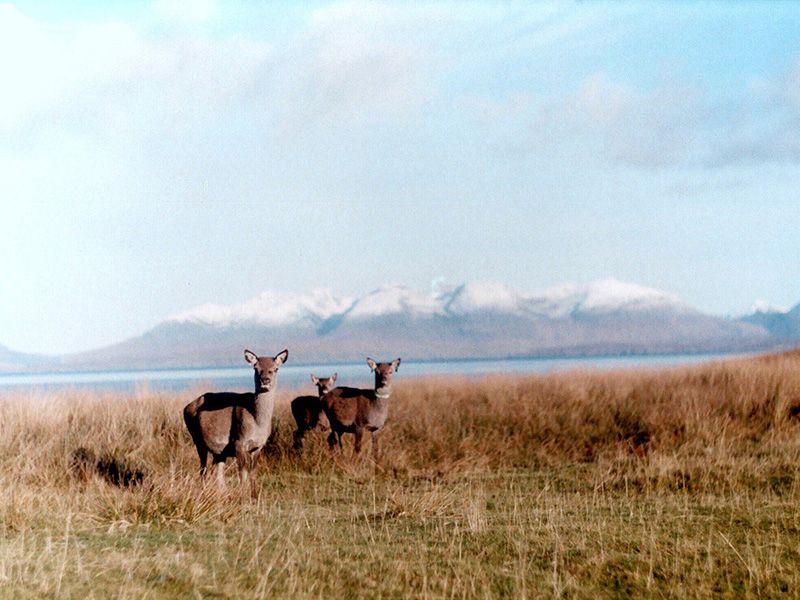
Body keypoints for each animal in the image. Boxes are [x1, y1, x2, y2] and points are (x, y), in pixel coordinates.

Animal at [183, 350, 290, 490]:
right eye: (256, 368)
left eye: (275, 368)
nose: (265, 380)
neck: (258, 423)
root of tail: (185, 408)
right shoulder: (239, 442)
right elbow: (243, 475)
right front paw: (242, 494)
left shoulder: (259, 446)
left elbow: (253, 474)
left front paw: (254, 495)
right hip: (197, 440)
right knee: (203, 470)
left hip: (219, 452)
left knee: (218, 474)